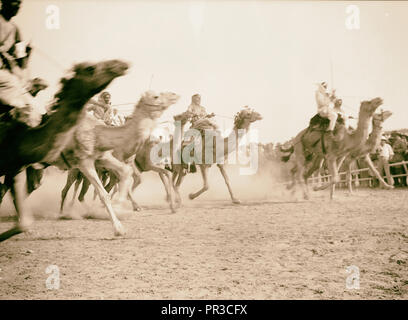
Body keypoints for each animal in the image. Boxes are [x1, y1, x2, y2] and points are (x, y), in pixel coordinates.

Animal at [0, 58, 128, 241]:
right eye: (90, 68)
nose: (121, 64)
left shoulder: (101, 157)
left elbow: (124, 171)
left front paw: (120, 213)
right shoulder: (84, 161)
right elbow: (103, 193)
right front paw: (117, 227)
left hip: (32, 168)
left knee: (26, 187)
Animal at [49, 90, 180, 235]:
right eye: (156, 96)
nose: (174, 95)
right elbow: (118, 186)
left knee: (81, 192)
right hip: (74, 171)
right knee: (67, 190)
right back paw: (63, 213)